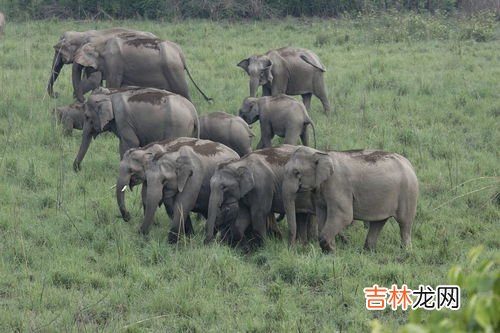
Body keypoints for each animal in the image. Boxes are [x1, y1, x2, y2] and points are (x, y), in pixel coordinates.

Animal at [71, 34, 210, 102]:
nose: (83, 100)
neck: (100, 42)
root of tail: (180, 52)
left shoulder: (114, 63)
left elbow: (113, 84)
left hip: (173, 69)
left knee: (182, 91)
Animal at [282, 145, 418, 252]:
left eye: (297, 172)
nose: (292, 249)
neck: (321, 153)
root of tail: (409, 164)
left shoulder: (338, 185)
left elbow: (345, 215)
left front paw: (331, 251)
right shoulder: (320, 191)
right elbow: (322, 215)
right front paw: (329, 251)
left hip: (408, 192)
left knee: (404, 223)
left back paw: (405, 252)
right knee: (378, 222)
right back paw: (368, 251)